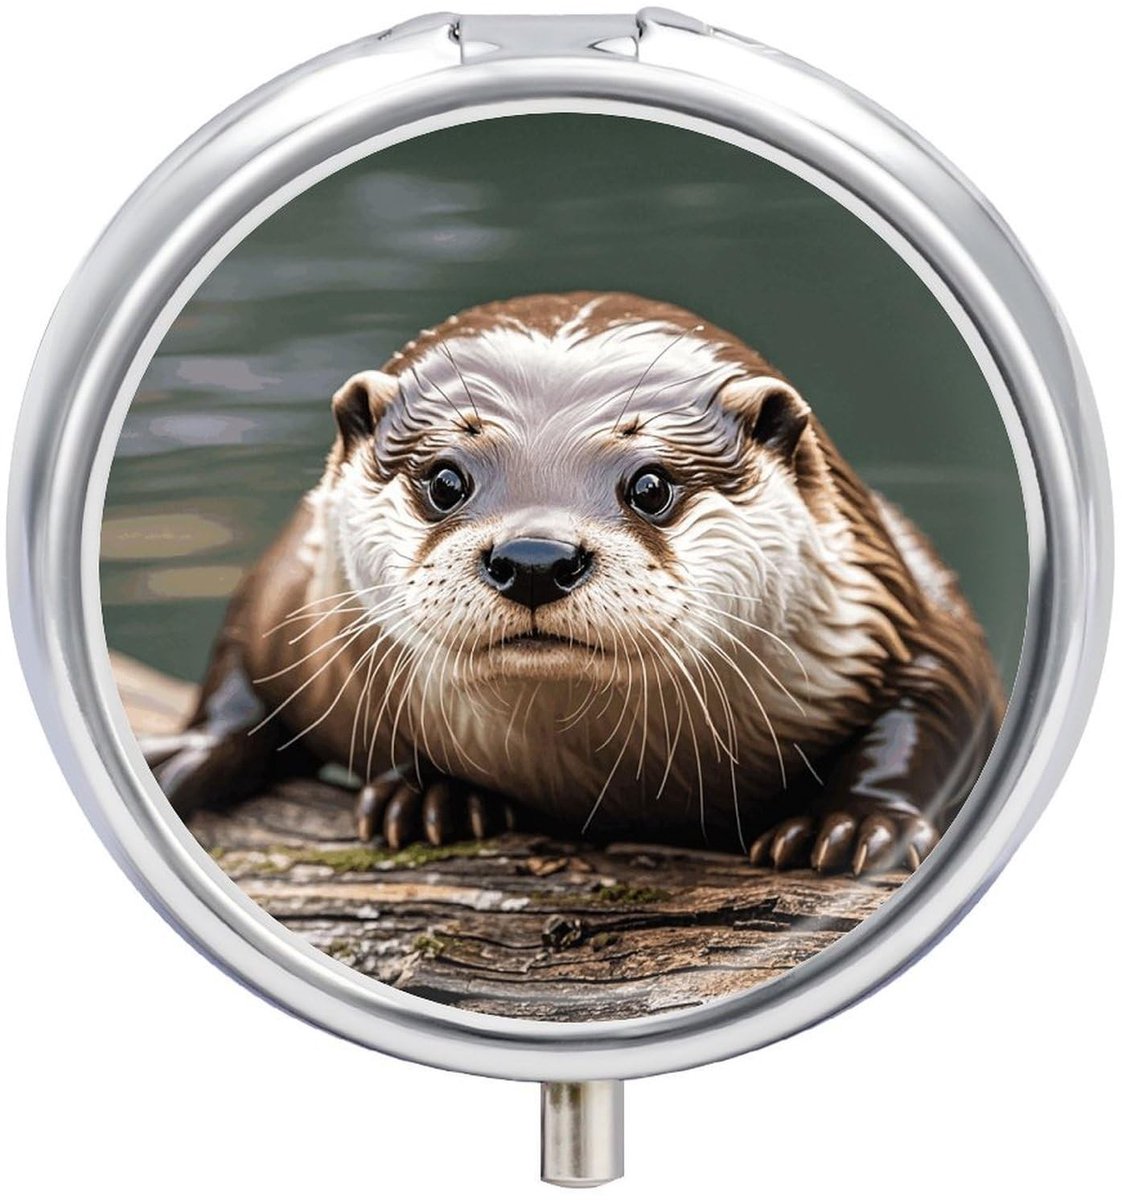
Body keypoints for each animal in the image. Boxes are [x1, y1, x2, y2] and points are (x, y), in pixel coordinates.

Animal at [145, 292, 1004, 875]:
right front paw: (434, 793)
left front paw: (856, 824)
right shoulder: (303, 594)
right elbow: (249, 659)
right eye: (446, 480)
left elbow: (943, 695)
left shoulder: (890, 601)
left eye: (651, 484)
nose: (534, 557)